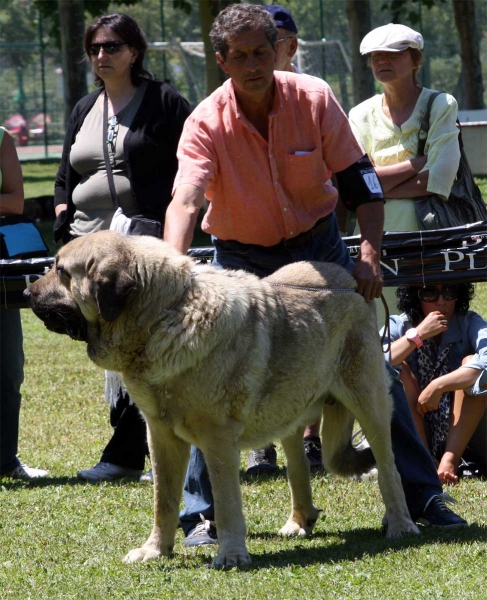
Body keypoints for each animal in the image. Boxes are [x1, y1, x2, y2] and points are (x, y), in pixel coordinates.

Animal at [24, 230, 418, 568]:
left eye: (61, 270)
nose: (26, 293)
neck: (165, 315)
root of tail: (350, 281)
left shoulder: (217, 439)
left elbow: (227, 502)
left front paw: (231, 555)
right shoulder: (161, 435)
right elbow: (164, 499)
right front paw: (155, 550)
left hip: (368, 402)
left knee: (389, 467)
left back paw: (401, 523)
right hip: (289, 411)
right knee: (299, 467)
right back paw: (299, 521)